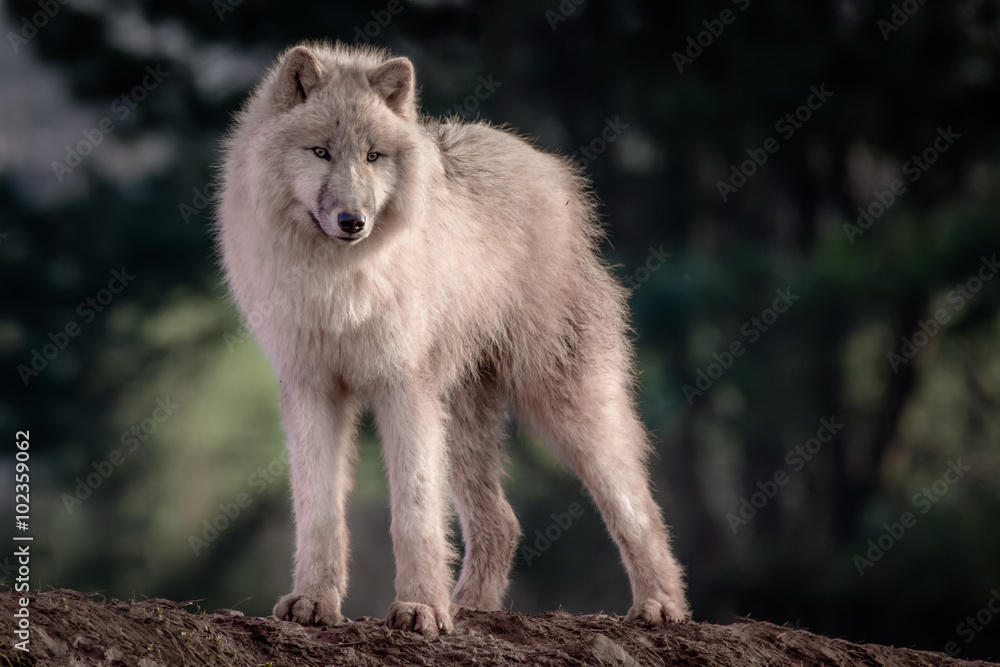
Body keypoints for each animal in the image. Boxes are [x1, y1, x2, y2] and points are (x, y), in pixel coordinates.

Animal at [216, 41, 689, 636]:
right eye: (320, 152)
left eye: (373, 157)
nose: (353, 221)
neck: (337, 283)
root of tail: (551, 170)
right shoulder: (311, 388)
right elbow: (318, 512)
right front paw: (313, 601)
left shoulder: (403, 389)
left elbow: (414, 514)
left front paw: (421, 609)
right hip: (461, 419)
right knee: (504, 522)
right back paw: (471, 606)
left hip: (561, 404)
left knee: (638, 506)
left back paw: (662, 605)